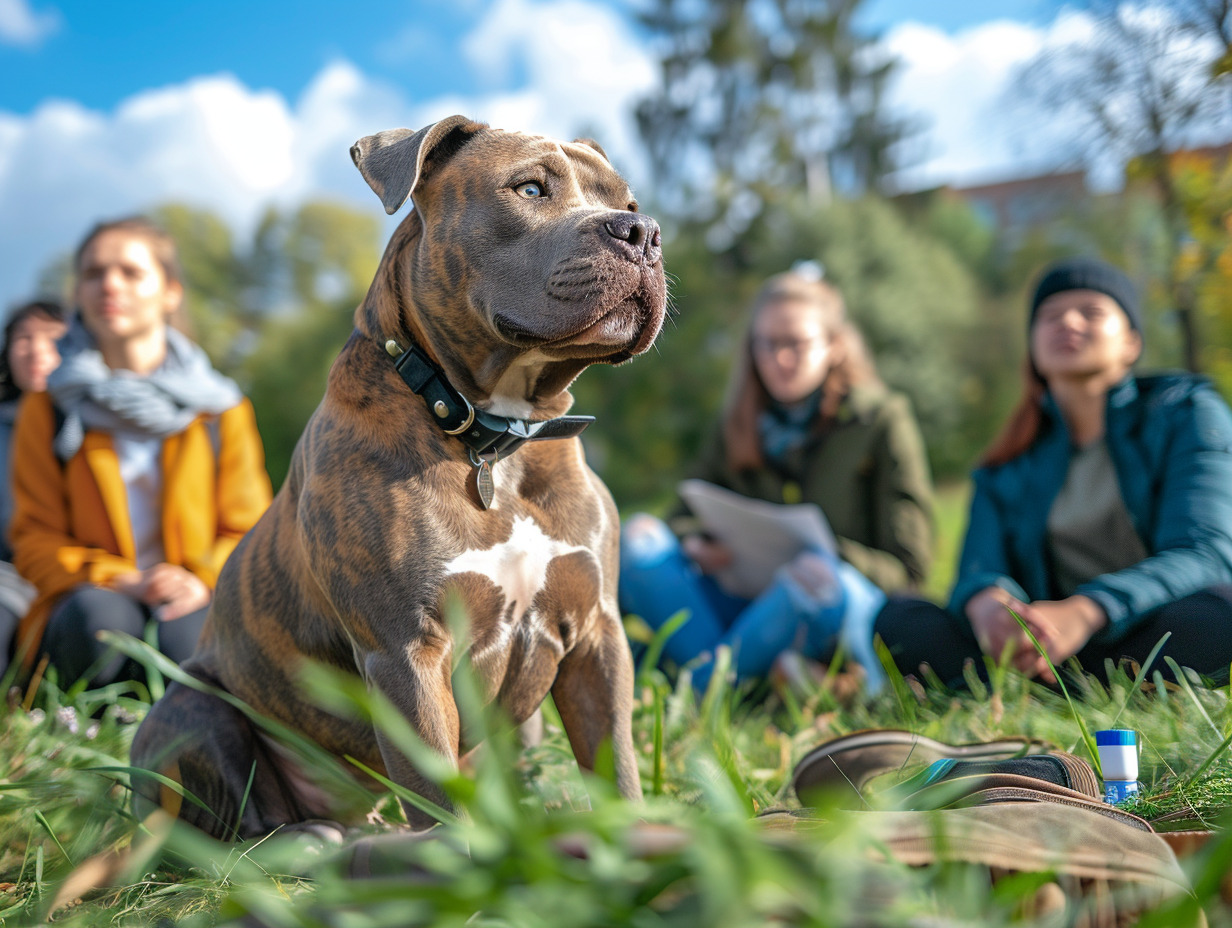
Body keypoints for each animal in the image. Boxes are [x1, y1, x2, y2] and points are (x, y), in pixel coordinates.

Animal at [132, 113, 665, 833]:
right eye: (529, 188)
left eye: (629, 203)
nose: (642, 233)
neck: (497, 440)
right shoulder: (407, 654)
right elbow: (440, 805)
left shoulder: (596, 638)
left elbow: (618, 767)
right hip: (191, 707)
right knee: (233, 826)